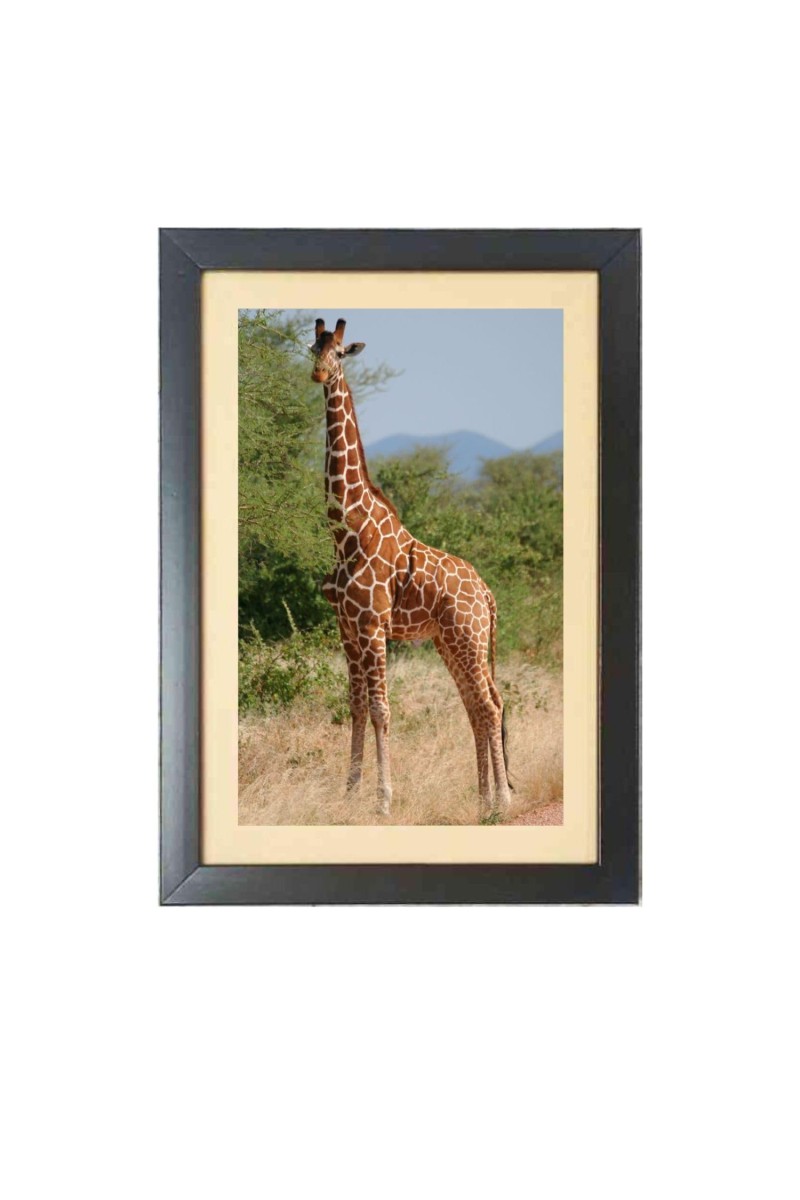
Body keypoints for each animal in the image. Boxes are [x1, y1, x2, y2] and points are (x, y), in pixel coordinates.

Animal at [311, 317, 512, 820]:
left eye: (339, 352)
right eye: (310, 348)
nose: (319, 374)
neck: (347, 531)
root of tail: (487, 595)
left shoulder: (373, 626)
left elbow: (381, 710)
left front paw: (383, 800)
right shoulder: (347, 628)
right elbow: (356, 706)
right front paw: (349, 794)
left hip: (468, 638)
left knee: (490, 705)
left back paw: (502, 800)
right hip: (450, 642)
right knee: (477, 706)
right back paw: (482, 800)